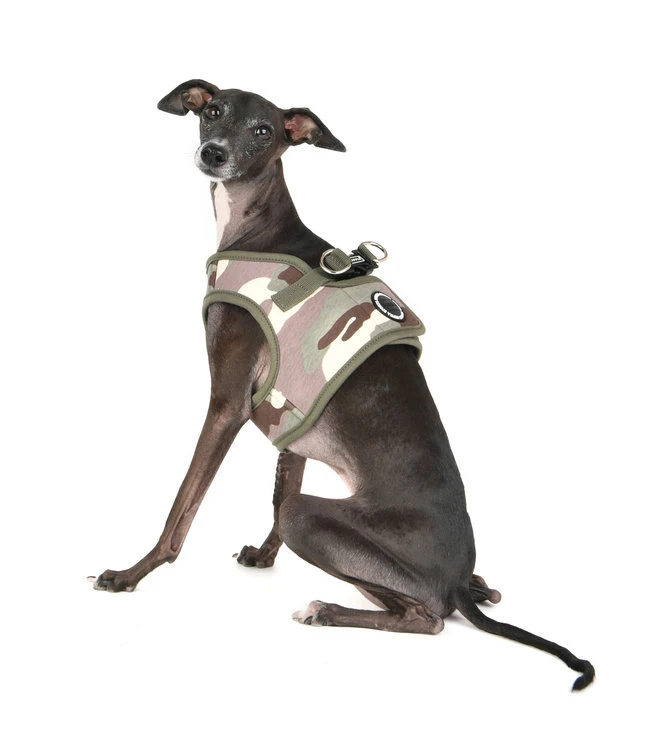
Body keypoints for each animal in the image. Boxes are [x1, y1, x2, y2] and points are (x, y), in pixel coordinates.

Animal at [91, 79, 594, 691]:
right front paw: (263, 557)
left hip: (317, 522)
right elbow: (279, 485)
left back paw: (329, 610)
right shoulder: (288, 419)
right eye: (212, 111)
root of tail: (454, 578)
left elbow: (182, 509)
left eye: (264, 130)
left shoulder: (227, 403)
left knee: (428, 616)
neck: (259, 230)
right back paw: (476, 588)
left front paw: (131, 573)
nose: (213, 154)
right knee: (470, 596)